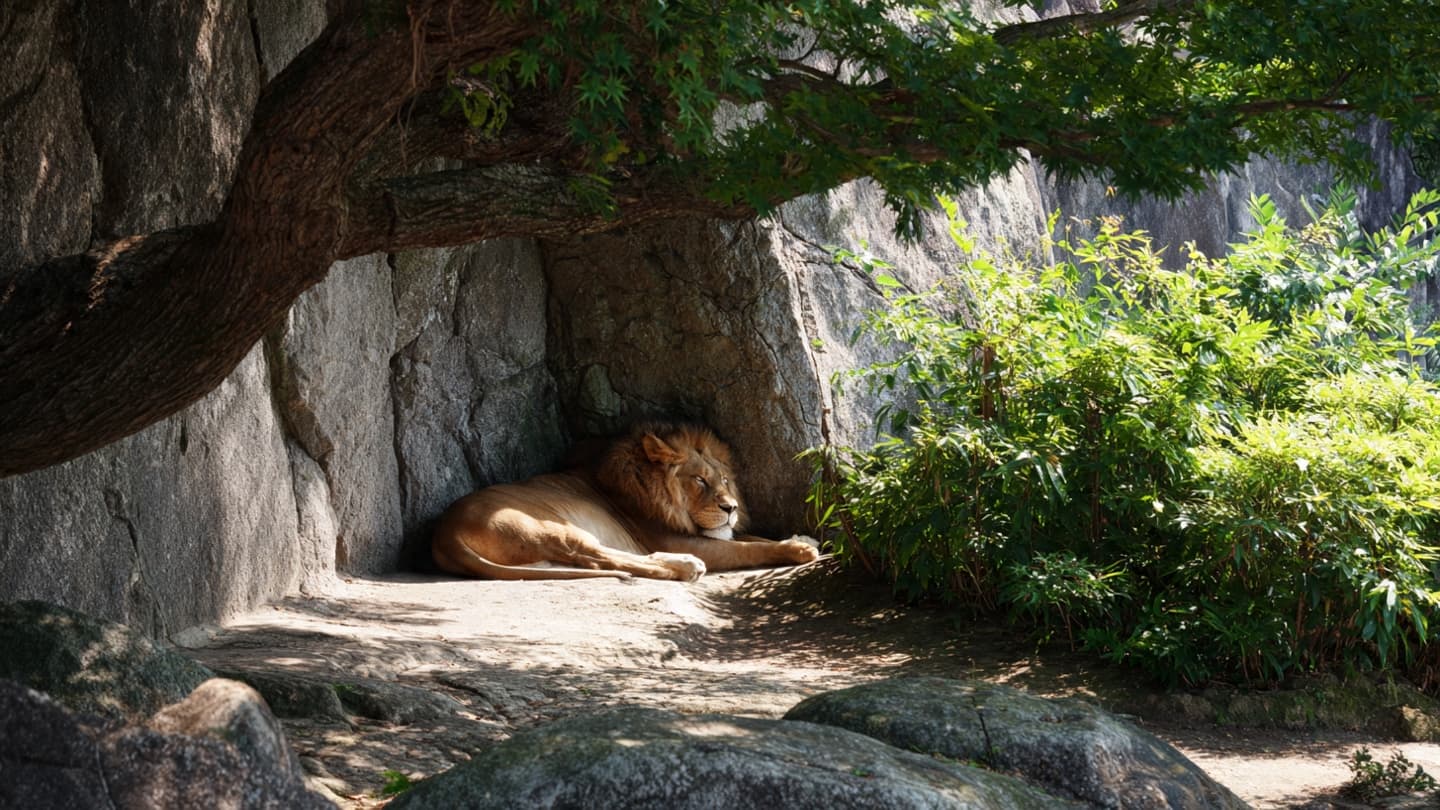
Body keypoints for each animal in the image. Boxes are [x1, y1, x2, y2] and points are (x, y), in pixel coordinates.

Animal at [431, 423, 821, 581]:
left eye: (724, 480)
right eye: (698, 480)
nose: (731, 508)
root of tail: (443, 534)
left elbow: (751, 537)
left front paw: (800, 538)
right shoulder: (677, 537)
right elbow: (748, 548)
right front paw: (800, 549)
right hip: (554, 527)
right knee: (602, 558)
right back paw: (684, 566)